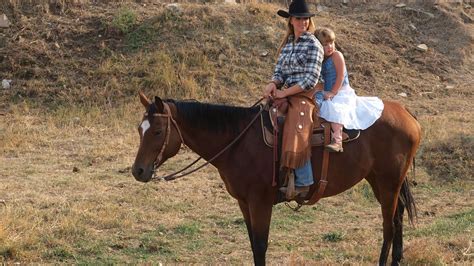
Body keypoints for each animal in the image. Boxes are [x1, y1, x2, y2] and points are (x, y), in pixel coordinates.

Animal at [131, 92, 420, 264]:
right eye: (139, 129)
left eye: (157, 131)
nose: (138, 171)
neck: (238, 142)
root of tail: (406, 113)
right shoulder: (244, 202)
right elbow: (252, 243)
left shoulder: (260, 202)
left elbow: (260, 245)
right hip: (378, 180)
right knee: (397, 216)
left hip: (389, 181)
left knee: (389, 225)